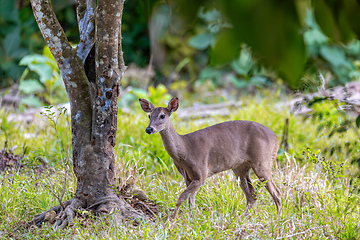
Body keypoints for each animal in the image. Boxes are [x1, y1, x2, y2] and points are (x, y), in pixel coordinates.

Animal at [139, 96, 282, 218]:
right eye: (149, 115)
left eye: (162, 115)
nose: (149, 129)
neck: (185, 151)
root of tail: (276, 138)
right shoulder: (188, 177)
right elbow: (191, 200)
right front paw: (192, 219)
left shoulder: (202, 172)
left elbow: (182, 198)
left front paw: (172, 219)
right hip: (240, 167)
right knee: (252, 195)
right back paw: (242, 218)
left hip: (262, 160)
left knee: (276, 192)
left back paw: (278, 219)